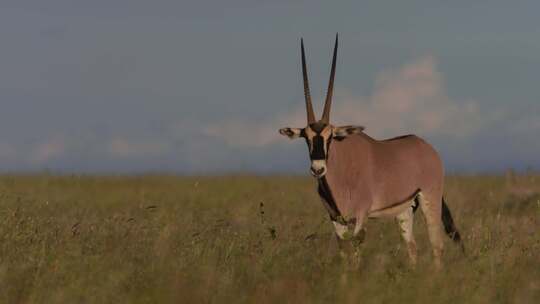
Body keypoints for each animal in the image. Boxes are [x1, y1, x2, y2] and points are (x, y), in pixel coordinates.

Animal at [278, 34, 464, 268]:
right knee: (412, 248)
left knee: (437, 247)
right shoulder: (335, 218)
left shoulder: (361, 215)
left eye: (331, 137)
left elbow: (357, 246)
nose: (318, 169)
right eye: (306, 137)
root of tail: (428, 149)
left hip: (430, 199)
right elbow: (343, 248)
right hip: (405, 210)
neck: (342, 168)